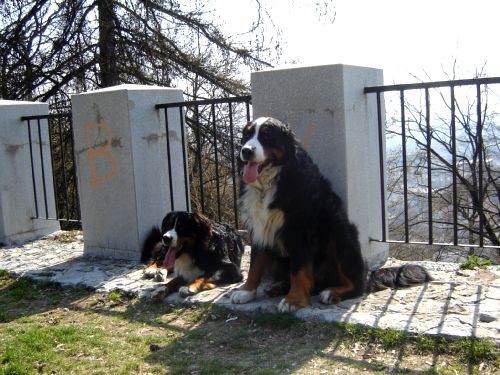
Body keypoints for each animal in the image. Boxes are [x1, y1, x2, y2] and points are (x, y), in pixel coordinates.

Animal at [230, 118, 430, 314]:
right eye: (246, 135)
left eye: (266, 135)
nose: (246, 150)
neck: (270, 183)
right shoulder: (258, 227)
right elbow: (255, 264)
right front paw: (246, 291)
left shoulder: (300, 230)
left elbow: (299, 270)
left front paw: (293, 300)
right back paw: (278, 286)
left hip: (340, 234)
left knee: (357, 285)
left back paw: (332, 292)